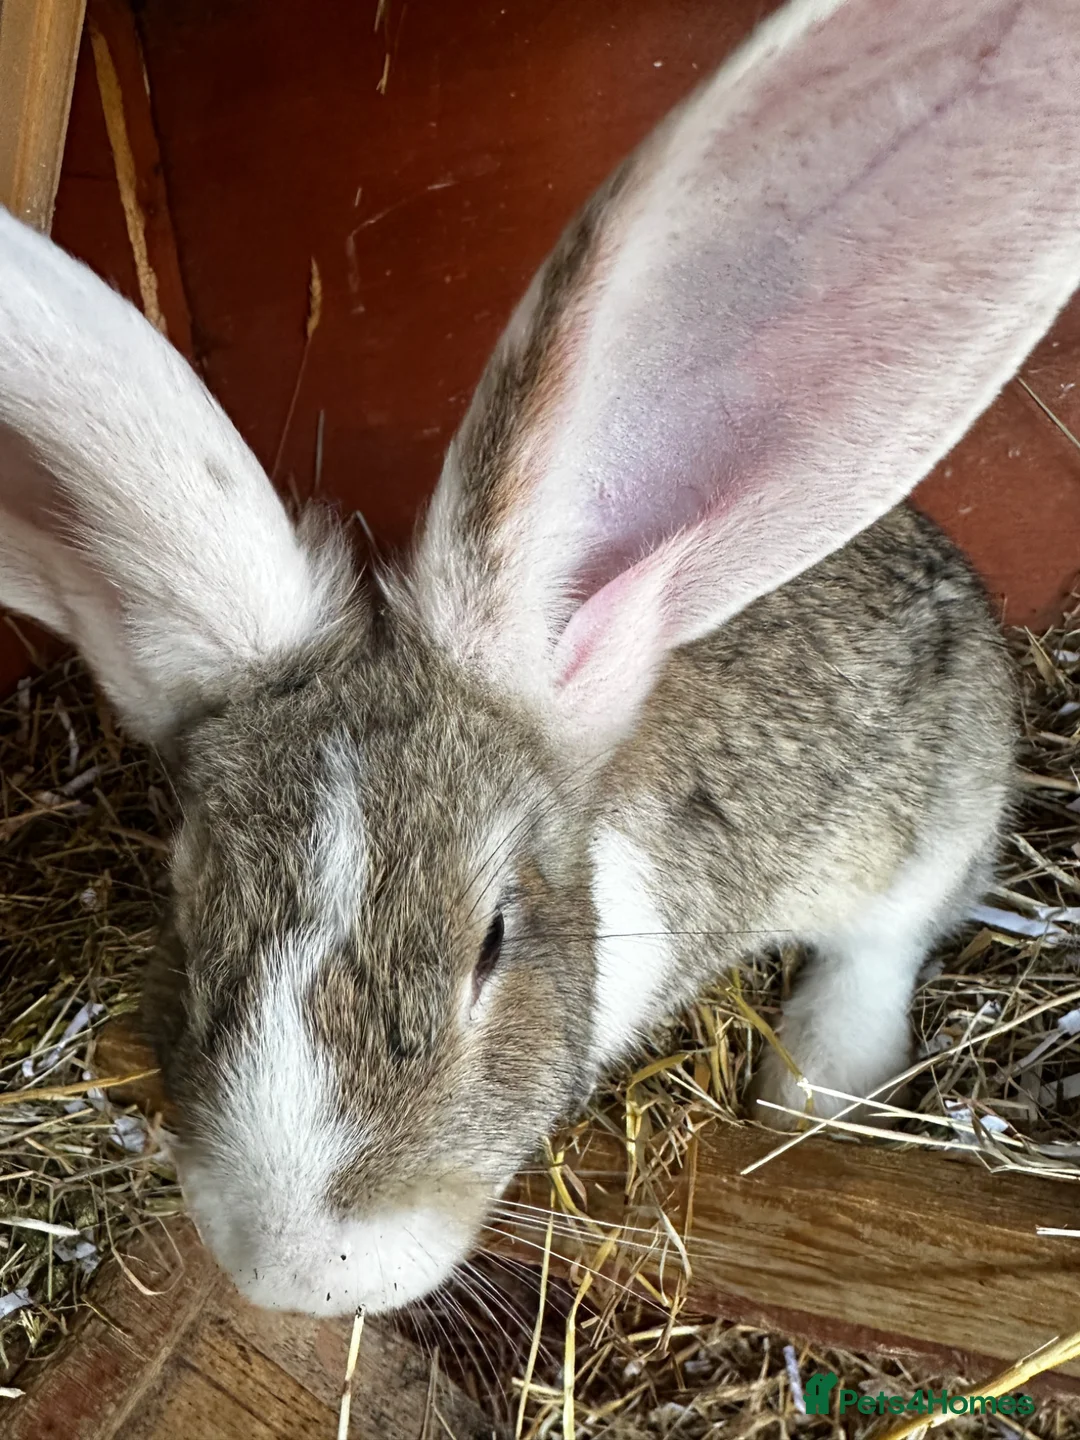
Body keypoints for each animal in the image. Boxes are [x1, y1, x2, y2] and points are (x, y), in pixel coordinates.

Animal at [1, 0, 1079, 1320]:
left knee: (891, 935)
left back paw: (816, 1087)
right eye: (189, 902)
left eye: (493, 944)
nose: (302, 1274)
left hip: (937, 794)